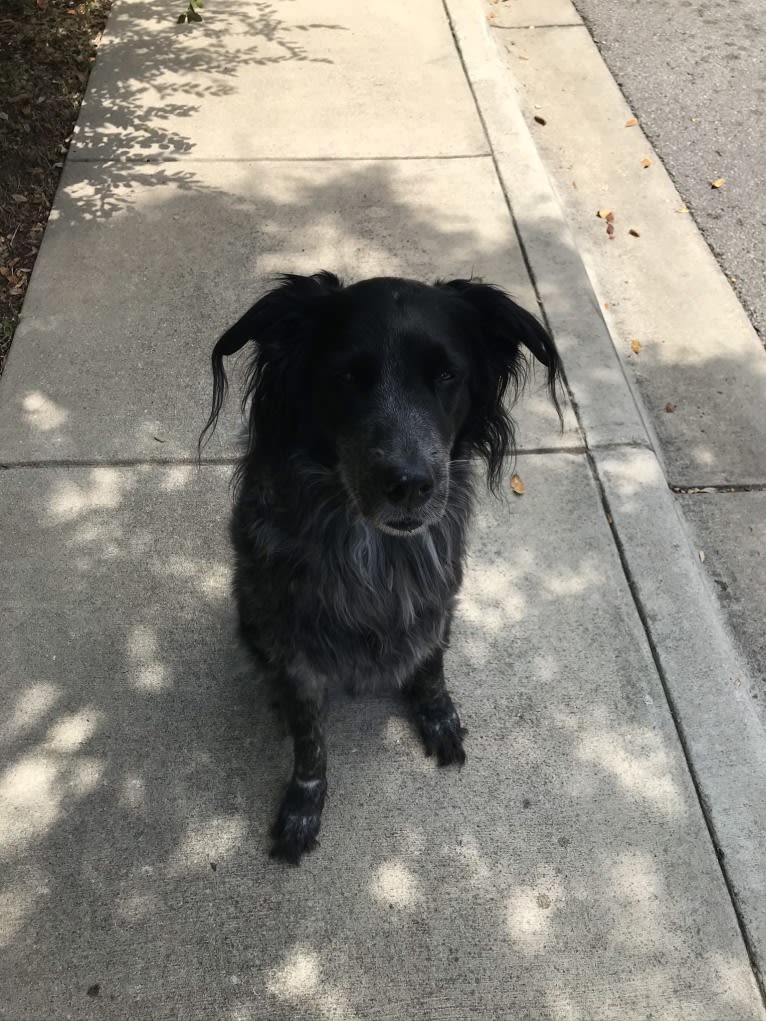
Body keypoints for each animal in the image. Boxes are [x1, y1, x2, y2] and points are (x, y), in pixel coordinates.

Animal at [201, 271, 559, 861]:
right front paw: (303, 808)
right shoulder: (292, 645)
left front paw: (438, 716)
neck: (379, 551)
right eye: (347, 376)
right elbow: (310, 745)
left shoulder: (440, 601)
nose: (410, 485)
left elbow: (431, 667)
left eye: (446, 375)